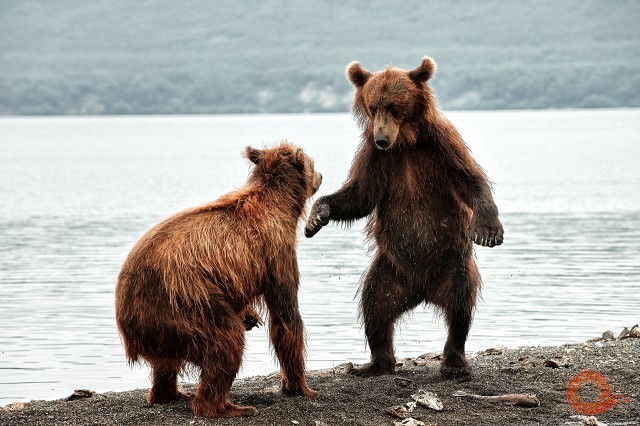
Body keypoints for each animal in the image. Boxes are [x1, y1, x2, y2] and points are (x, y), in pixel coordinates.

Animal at [115, 141, 320, 418]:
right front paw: (300, 387)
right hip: (185, 305)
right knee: (225, 341)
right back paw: (229, 407)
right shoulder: (277, 250)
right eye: (313, 163)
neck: (282, 205)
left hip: (162, 325)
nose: (321, 175)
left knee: (166, 365)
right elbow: (286, 316)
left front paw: (251, 316)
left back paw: (170, 394)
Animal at [304, 57, 504, 380]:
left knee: (460, 306)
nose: (382, 138)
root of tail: (422, 290)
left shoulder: (440, 145)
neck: (406, 142)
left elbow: (470, 179)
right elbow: (359, 195)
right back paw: (376, 363)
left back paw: (454, 363)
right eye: (374, 106)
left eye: (395, 106)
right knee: (374, 306)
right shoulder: (374, 157)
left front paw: (488, 229)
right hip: (389, 272)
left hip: (453, 263)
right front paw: (316, 215)